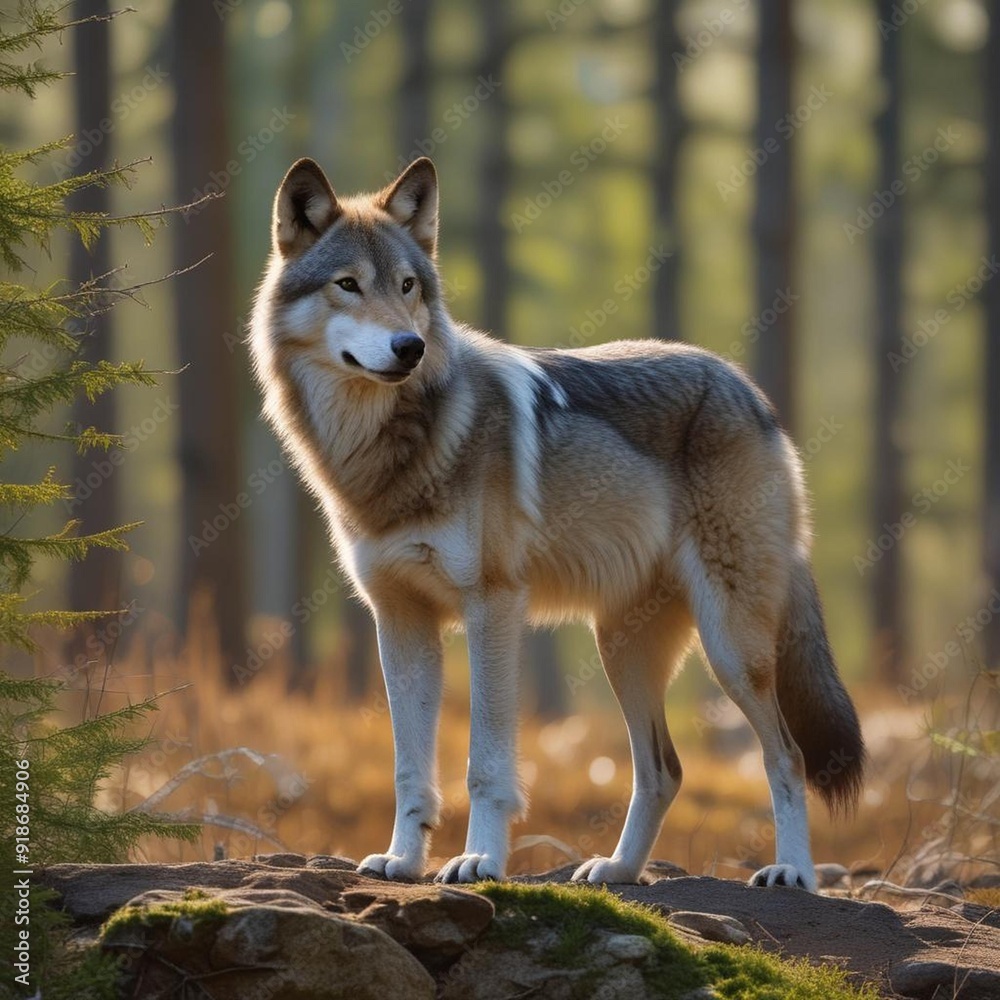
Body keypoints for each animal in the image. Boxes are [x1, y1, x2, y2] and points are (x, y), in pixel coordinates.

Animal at [249, 156, 865, 890]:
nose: (410, 346)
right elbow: (408, 768)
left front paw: (480, 860)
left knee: (786, 755)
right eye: (348, 285)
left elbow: (485, 764)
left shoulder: (493, 607)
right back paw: (619, 870)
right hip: (621, 647)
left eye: (406, 286)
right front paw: (402, 860)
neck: (389, 452)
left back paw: (793, 872)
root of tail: (749, 391)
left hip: (730, 650)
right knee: (665, 770)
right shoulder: (400, 622)